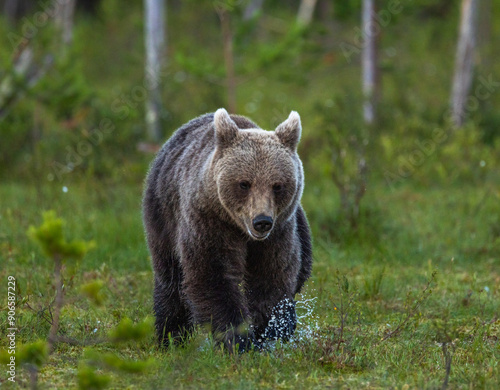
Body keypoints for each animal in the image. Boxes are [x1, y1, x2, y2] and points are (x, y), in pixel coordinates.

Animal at [143, 108, 310, 352]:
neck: (240, 229)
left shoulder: (279, 233)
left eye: (277, 185)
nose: (262, 221)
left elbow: (272, 276)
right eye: (244, 183)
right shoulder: (209, 222)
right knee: (171, 278)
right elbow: (212, 274)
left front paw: (268, 331)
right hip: (162, 215)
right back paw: (171, 336)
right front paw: (239, 339)